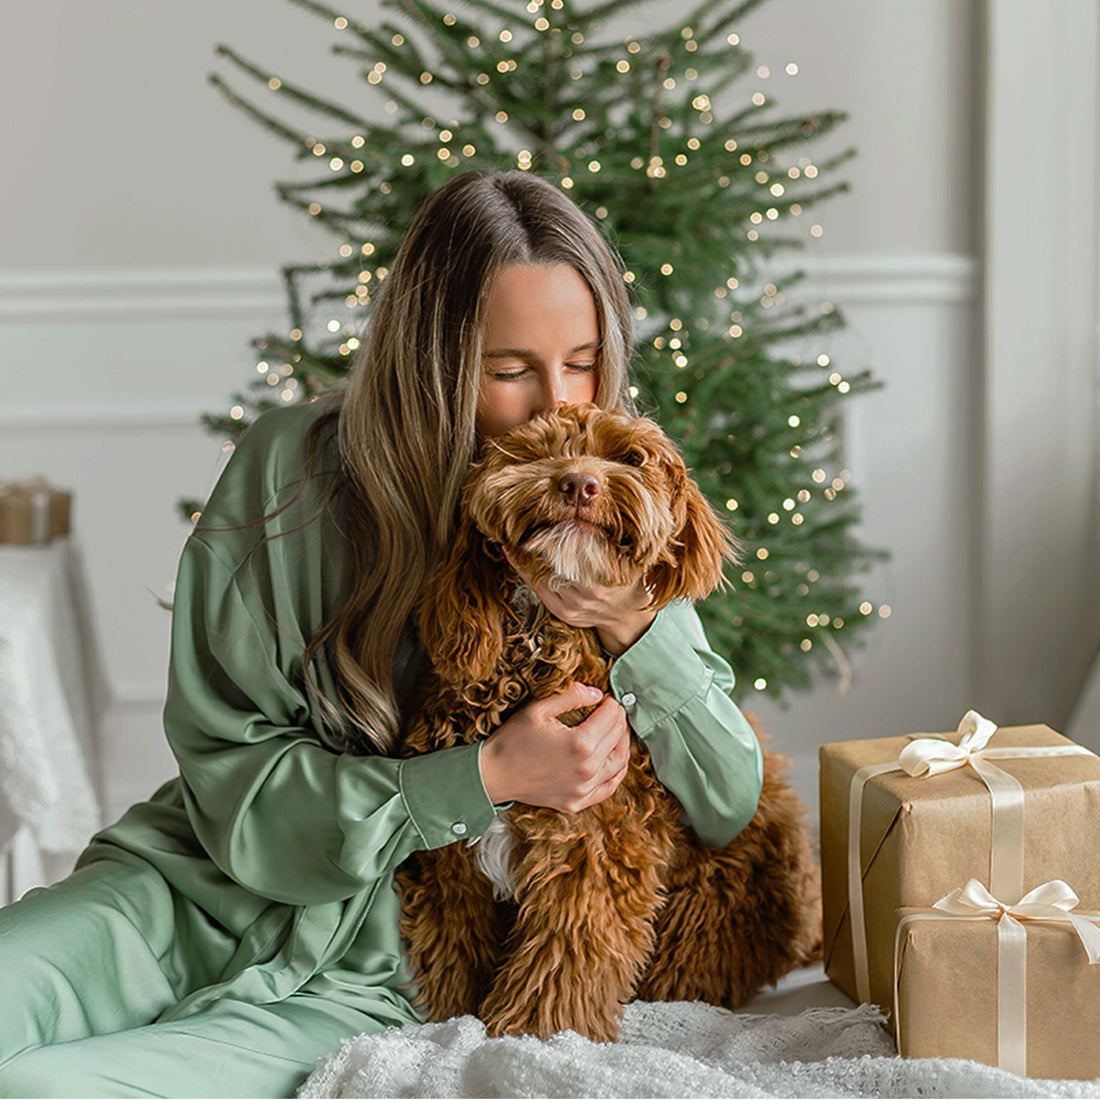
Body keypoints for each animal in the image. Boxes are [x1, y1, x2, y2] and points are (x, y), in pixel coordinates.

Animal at [393, 402, 818, 1038]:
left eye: (630, 457)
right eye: (536, 452)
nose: (578, 484)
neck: (535, 636)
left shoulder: (590, 845)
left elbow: (561, 962)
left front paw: (531, 1035)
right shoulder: (451, 868)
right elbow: (455, 958)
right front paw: (454, 1023)